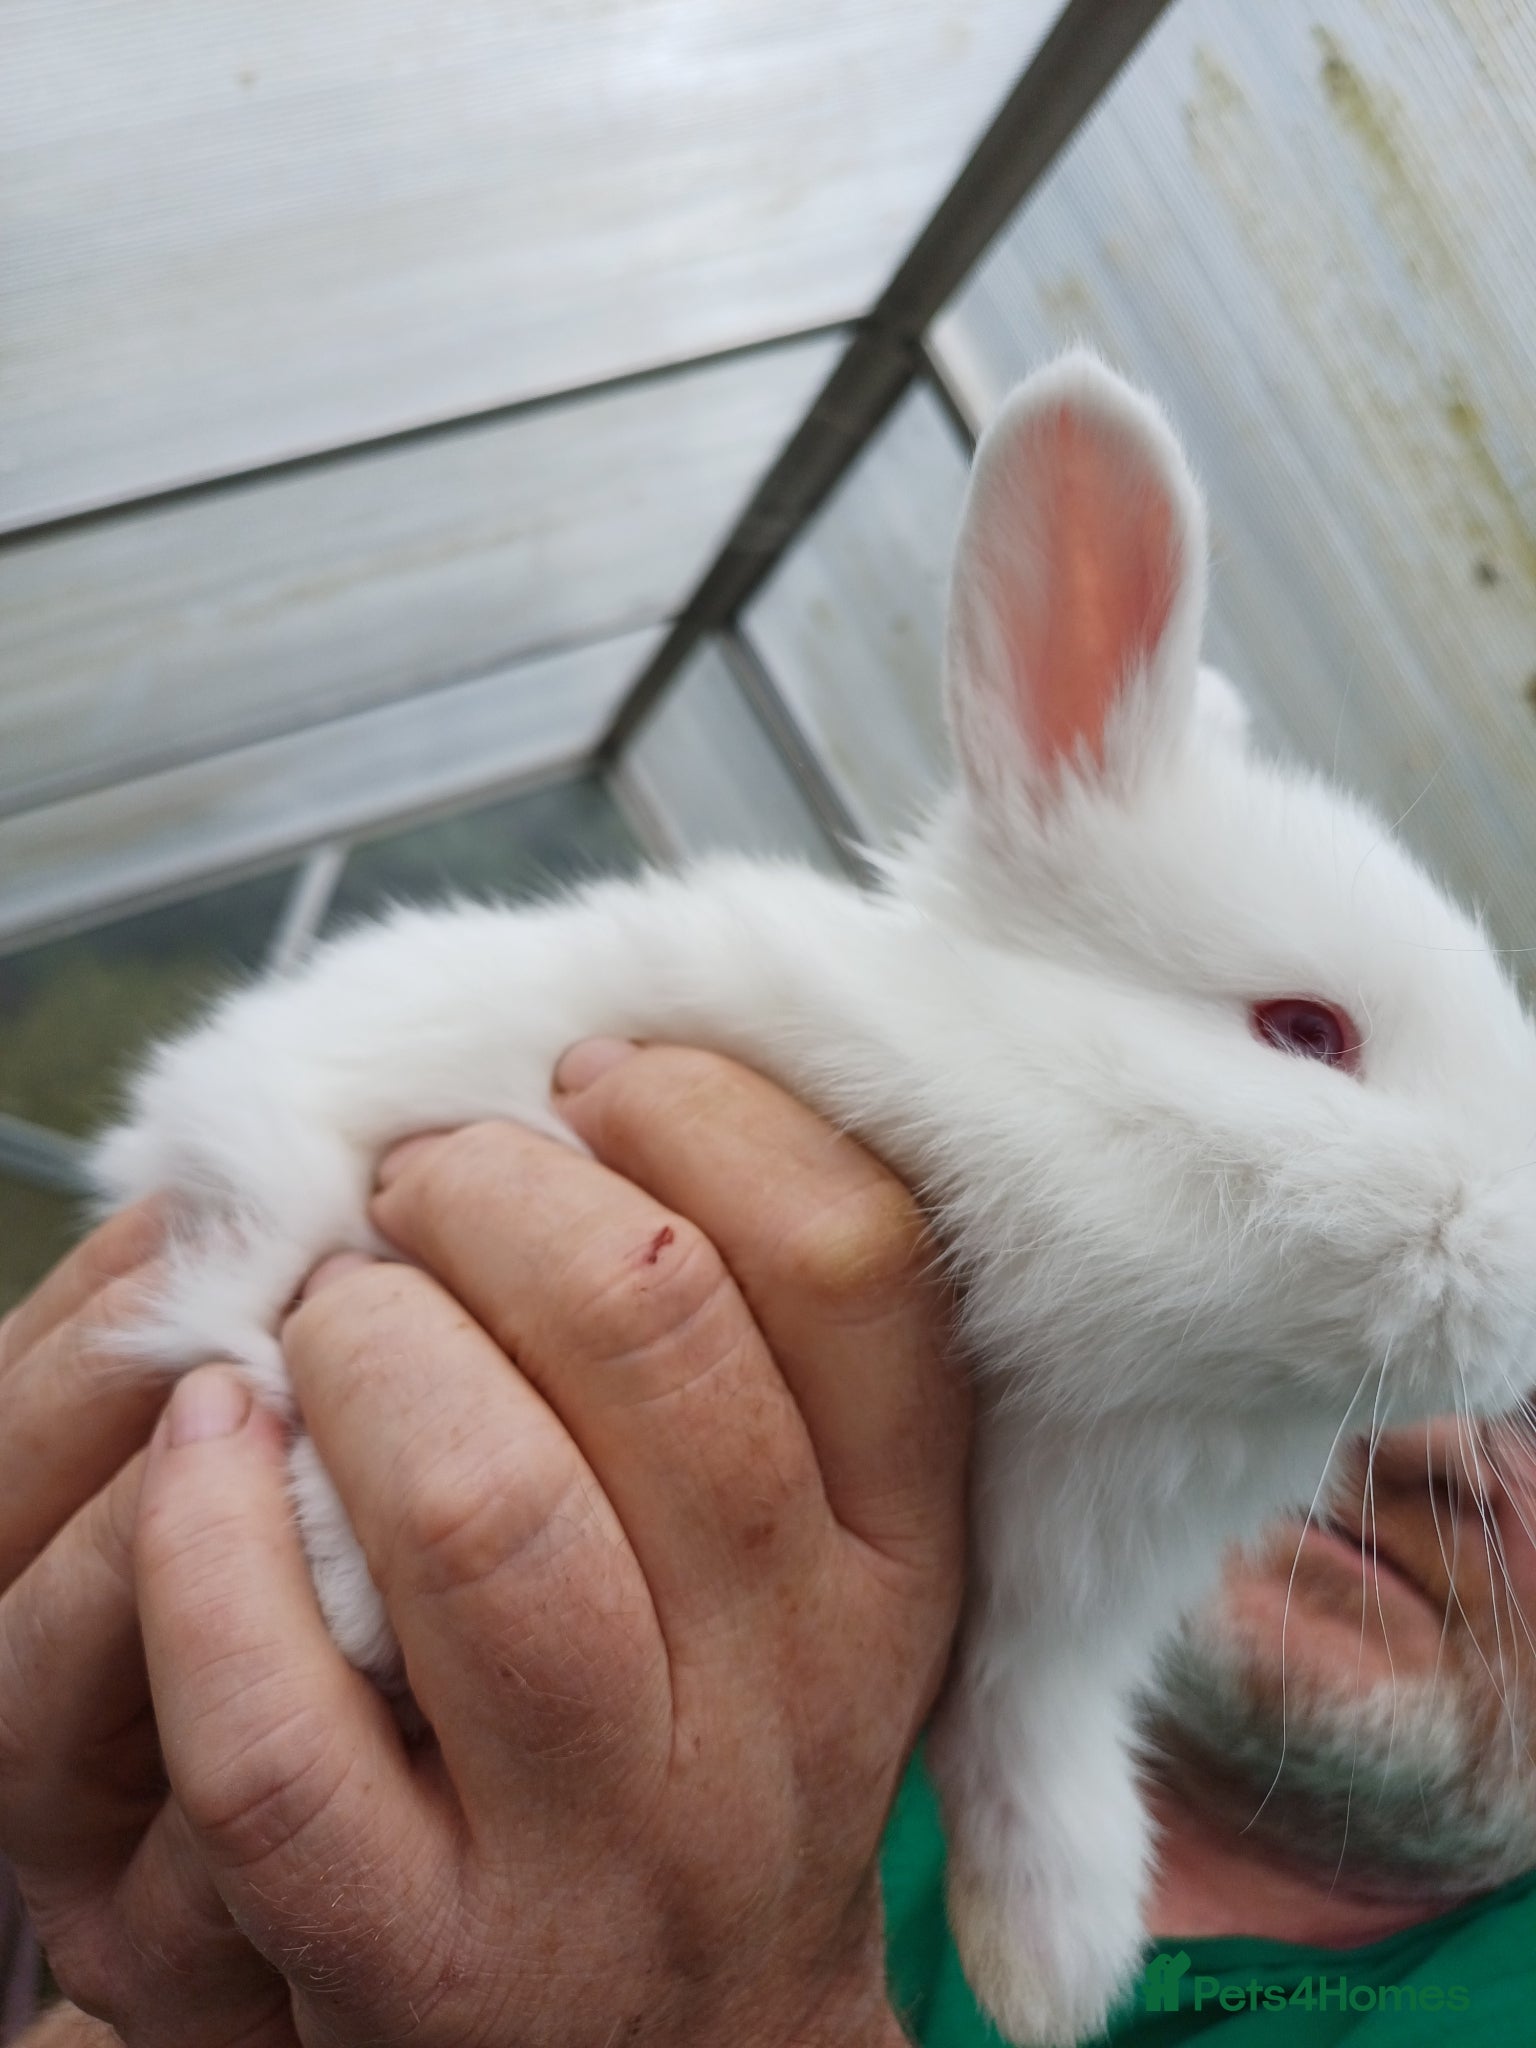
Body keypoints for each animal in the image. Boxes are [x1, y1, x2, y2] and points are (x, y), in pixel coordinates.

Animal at [93, 350, 1536, 2046]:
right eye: (1306, 1032)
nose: (1527, 1289)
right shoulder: (324, 1121)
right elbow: (292, 1289)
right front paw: (338, 1579)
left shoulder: (1047, 1627)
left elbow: (1032, 1740)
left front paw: (1051, 1964)